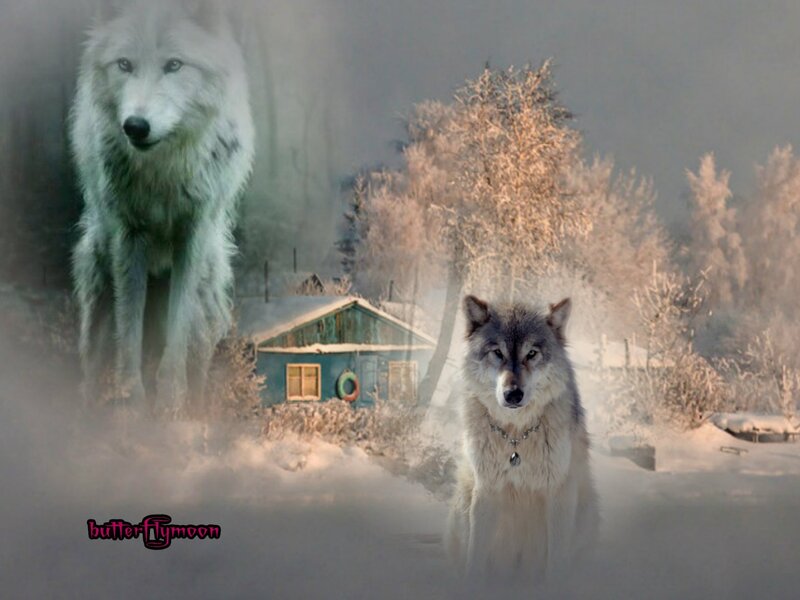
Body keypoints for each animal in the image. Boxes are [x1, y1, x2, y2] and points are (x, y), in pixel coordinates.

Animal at [70, 0, 255, 414]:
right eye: (124, 64)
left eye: (174, 65)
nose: (136, 126)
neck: (163, 171)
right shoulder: (128, 237)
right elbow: (129, 331)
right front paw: (132, 401)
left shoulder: (192, 235)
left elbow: (177, 327)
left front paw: (170, 399)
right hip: (97, 291)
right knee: (90, 368)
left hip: (206, 302)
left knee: (198, 360)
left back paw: (198, 411)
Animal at [445, 295, 598, 580]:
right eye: (498, 353)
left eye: (531, 354)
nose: (513, 394)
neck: (516, 437)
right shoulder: (486, 491)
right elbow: (475, 556)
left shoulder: (559, 495)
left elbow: (556, 563)